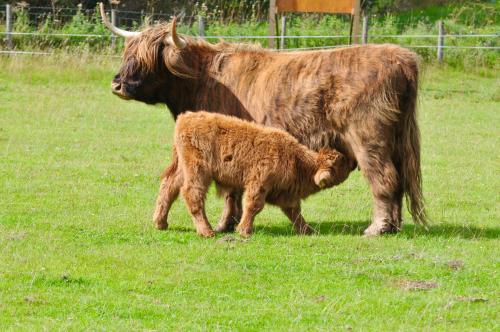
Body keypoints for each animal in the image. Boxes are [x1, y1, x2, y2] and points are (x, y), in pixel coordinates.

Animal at [152, 113, 352, 237]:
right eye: (339, 163)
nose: (351, 160)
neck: (297, 160)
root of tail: (186, 117)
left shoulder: (285, 194)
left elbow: (295, 212)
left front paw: (308, 231)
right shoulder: (259, 183)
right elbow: (253, 206)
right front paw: (244, 231)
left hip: (181, 169)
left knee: (168, 187)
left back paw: (160, 223)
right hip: (198, 171)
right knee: (192, 194)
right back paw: (207, 231)